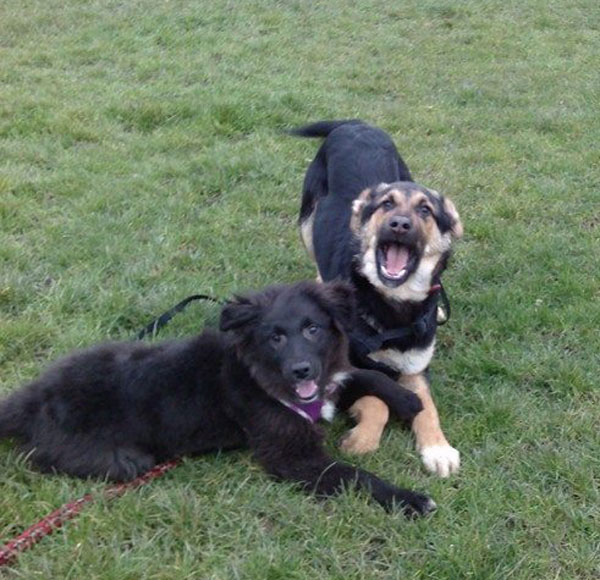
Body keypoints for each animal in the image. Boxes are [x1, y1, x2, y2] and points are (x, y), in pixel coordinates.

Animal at [0, 280, 434, 516]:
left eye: (312, 329)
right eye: (275, 337)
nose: (301, 371)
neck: (261, 375)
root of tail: (31, 396)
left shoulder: (323, 385)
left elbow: (358, 374)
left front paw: (407, 400)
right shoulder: (293, 457)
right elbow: (354, 476)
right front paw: (409, 500)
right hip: (117, 457)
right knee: (38, 456)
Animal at [290, 119, 464, 476]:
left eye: (425, 210)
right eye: (386, 204)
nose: (399, 224)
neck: (392, 307)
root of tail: (356, 123)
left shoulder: (415, 367)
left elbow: (428, 407)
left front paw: (438, 448)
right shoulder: (343, 366)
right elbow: (377, 399)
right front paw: (363, 438)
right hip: (308, 221)